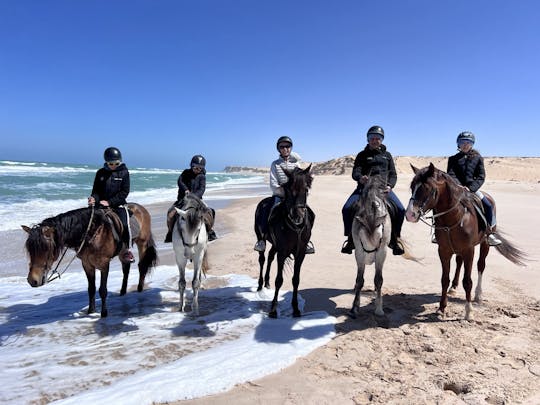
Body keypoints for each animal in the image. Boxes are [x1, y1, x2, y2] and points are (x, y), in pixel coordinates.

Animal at [23, 202, 158, 316]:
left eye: (46, 249)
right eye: (30, 250)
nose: (32, 280)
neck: (90, 233)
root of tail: (140, 207)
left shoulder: (104, 264)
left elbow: (102, 289)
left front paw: (104, 314)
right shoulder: (87, 264)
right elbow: (91, 289)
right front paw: (91, 311)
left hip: (142, 243)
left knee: (142, 266)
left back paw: (139, 290)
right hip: (123, 251)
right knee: (126, 268)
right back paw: (123, 292)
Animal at [254, 166, 314, 318]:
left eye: (306, 189)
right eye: (289, 190)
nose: (299, 216)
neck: (295, 228)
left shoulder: (300, 254)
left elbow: (296, 280)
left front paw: (296, 308)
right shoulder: (282, 253)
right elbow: (279, 280)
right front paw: (273, 310)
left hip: (275, 245)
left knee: (270, 256)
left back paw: (267, 282)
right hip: (260, 238)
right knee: (262, 259)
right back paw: (260, 285)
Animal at [348, 179, 390, 316]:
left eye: (380, 235)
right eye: (362, 235)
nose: (370, 250)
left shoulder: (382, 252)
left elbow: (378, 279)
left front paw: (379, 309)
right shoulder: (359, 252)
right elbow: (359, 280)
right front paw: (355, 307)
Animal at [404, 163, 528, 318]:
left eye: (428, 188)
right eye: (412, 187)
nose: (410, 214)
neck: (453, 219)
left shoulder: (469, 250)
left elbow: (468, 281)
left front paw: (469, 312)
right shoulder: (444, 251)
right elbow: (444, 279)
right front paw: (441, 308)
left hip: (484, 244)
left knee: (481, 266)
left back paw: (478, 295)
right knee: (459, 262)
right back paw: (454, 287)